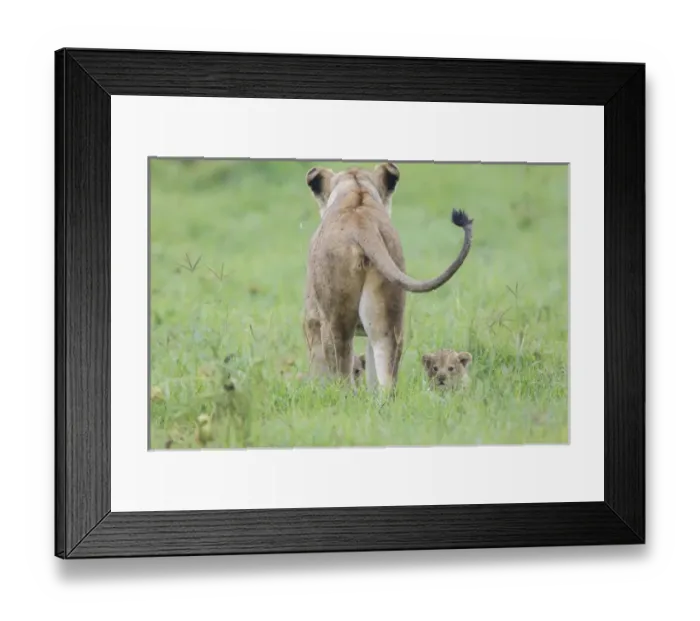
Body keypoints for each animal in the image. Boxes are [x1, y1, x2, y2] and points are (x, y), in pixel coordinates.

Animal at [302, 162, 474, 390]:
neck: (356, 193)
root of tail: (362, 222)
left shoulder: (311, 321)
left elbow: (316, 369)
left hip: (335, 320)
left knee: (343, 373)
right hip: (388, 320)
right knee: (386, 379)